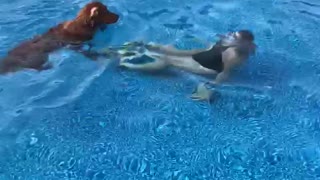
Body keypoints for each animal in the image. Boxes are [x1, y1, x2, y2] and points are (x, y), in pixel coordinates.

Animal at [119, 30, 256, 84]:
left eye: (234, 34)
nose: (229, 33)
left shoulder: (232, 57)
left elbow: (224, 73)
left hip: (165, 61)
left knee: (158, 64)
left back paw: (126, 61)